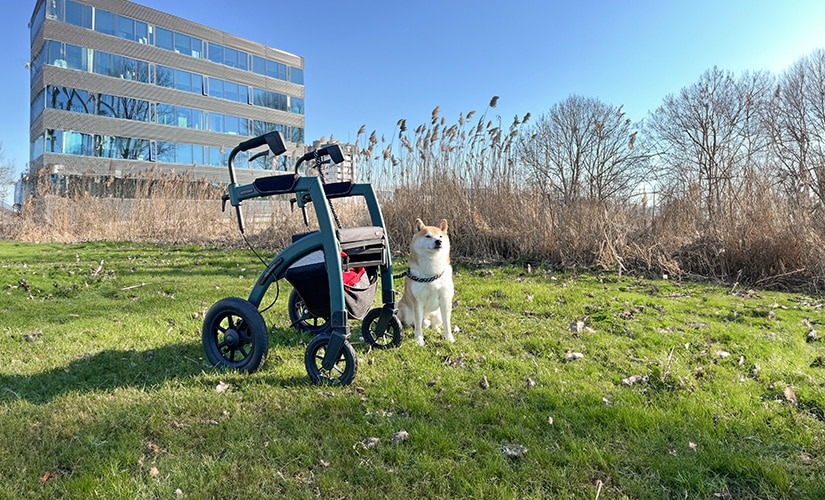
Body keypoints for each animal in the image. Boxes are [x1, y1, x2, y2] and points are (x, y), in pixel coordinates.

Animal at [396, 220, 454, 348]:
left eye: (440, 236)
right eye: (428, 236)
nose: (438, 241)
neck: (431, 274)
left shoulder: (445, 300)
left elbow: (447, 323)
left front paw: (449, 338)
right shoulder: (417, 302)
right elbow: (417, 325)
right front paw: (419, 340)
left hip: (437, 314)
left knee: (434, 324)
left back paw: (437, 330)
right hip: (406, 312)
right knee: (411, 323)